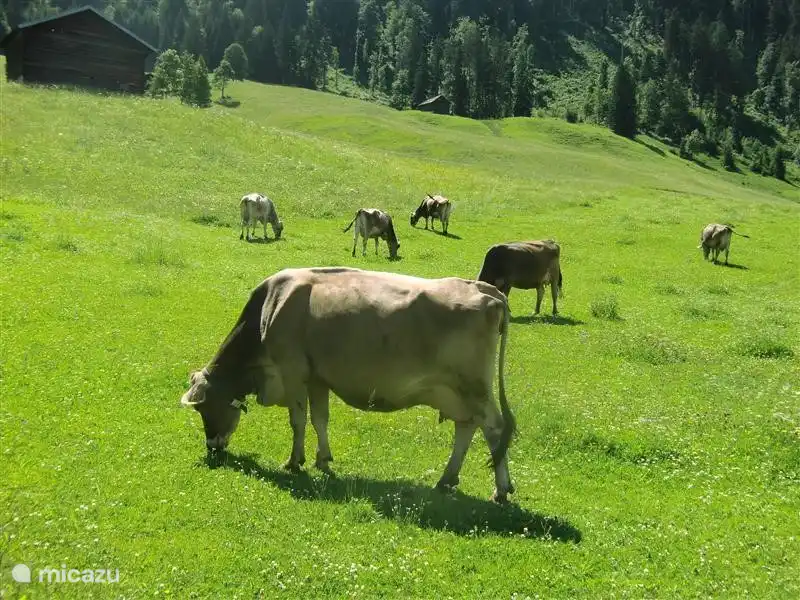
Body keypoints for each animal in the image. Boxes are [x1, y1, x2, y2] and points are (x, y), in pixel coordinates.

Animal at [180, 266, 517, 503]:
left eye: (205, 409)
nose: (212, 446)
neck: (271, 307)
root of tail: (486, 290)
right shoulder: (317, 378)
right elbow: (319, 419)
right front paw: (323, 458)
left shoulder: (293, 373)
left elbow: (298, 420)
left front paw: (294, 461)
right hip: (457, 393)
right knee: (467, 428)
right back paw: (447, 479)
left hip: (474, 387)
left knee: (494, 429)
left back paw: (500, 490)